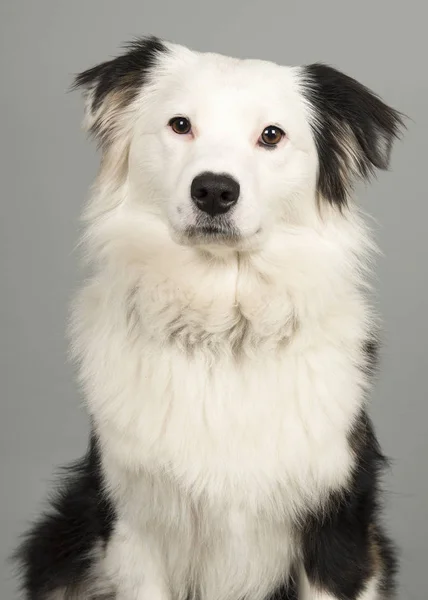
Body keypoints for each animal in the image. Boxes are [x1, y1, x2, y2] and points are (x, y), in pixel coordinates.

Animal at [15, 37, 404, 600]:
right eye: (180, 124)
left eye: (271, 135)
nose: (215, 190)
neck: (223, 329)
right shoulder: (134, 525)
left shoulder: (339, 525)